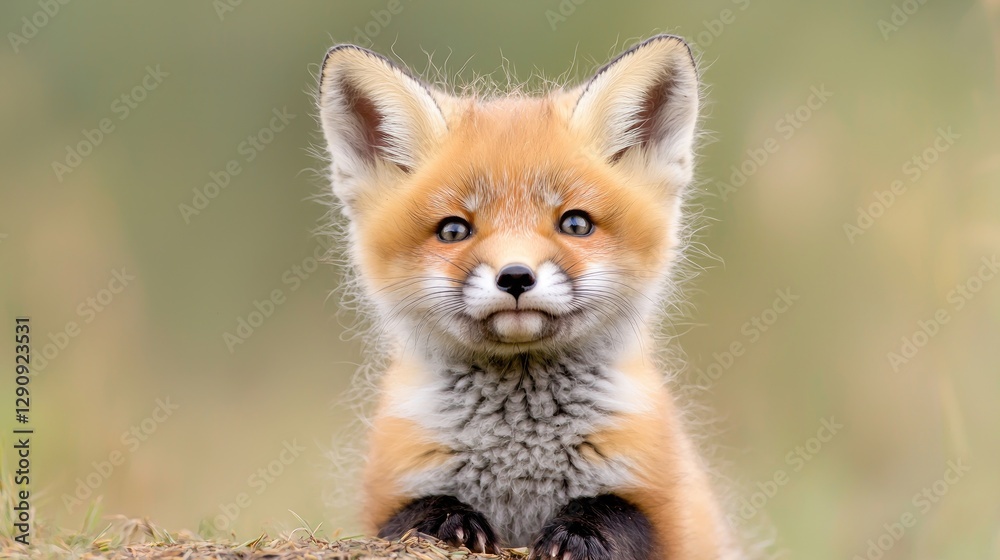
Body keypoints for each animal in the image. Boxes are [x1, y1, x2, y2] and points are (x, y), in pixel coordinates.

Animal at [316, 35, 742, 560]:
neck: (520, 448)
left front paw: (579, 533)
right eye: (453, 230)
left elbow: (617, 513)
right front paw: (451, 523)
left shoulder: (669, 510)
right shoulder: (388, 495)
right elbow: (417, 514)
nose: (516, 276)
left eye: (575, 224)